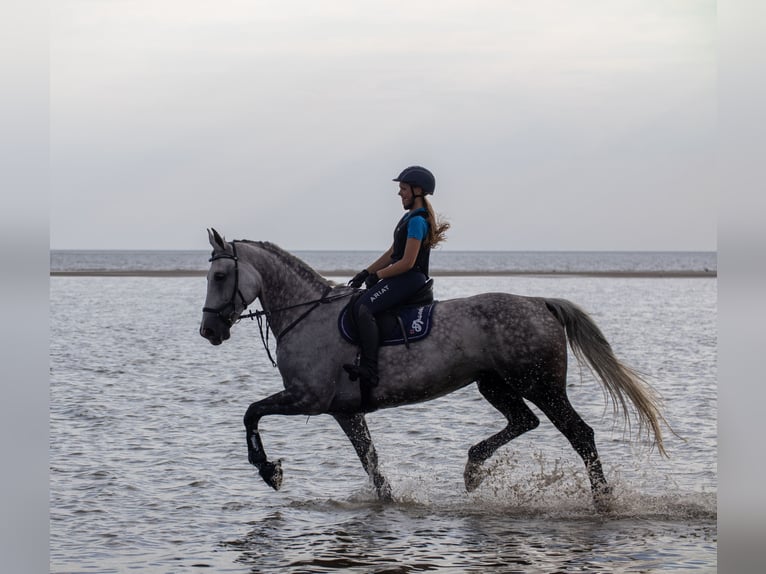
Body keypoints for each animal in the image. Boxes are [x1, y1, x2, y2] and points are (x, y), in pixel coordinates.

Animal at [201, 227, 668, 510]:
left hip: (540, 384)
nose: (209, 330)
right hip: (495, 384)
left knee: (579, 434)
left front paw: (270, 471)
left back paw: (602, 500)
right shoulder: (345, 412)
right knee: (524, 421)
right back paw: (473, 469)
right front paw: (388, 502)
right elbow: (370, 461)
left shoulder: (307, 398)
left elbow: (251, 412)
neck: (306, 314)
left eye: (220, 275)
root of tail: (540, 302)